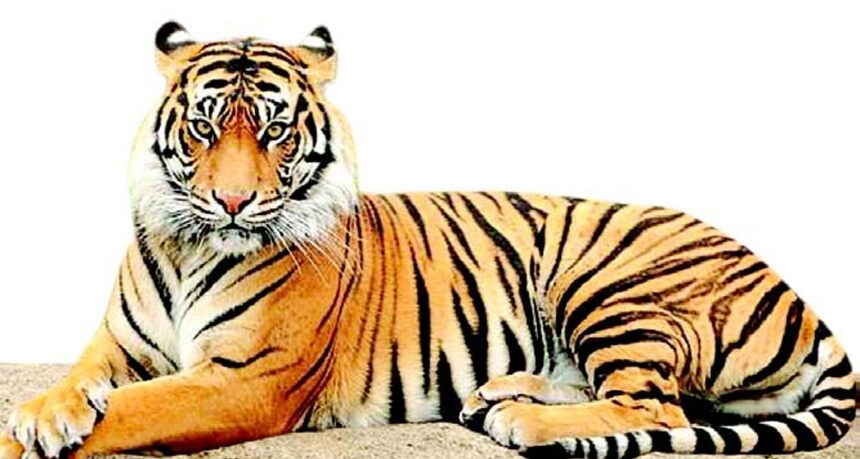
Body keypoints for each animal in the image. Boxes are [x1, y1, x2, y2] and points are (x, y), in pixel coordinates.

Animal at [0, 21, 855, 459]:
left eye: (274, 131)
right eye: (207, 127)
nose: (233, 201)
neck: (190, 245)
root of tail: (800, 296)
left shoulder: (245, 377)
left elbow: (132, 410)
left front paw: (28, 434)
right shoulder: (116, 346)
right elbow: (81, 383)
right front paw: (44, 411)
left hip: (610, 278)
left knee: (655, 404)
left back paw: (521, 421)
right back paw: (498, 393)